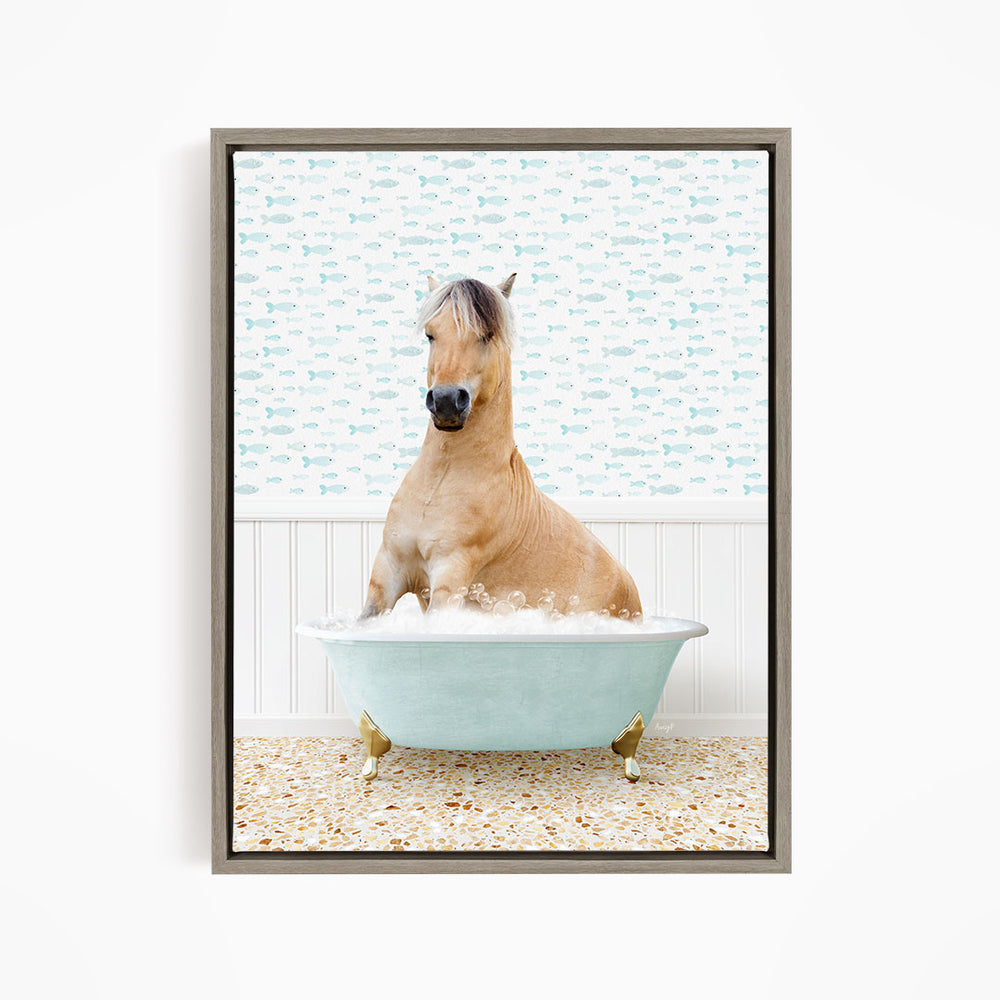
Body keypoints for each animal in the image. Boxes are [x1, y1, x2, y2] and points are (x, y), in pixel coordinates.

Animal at [360, 274, 642, 619]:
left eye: (486, 335)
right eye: (430, 334)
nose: (446, 402)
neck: (440, 482)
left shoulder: (450, 576)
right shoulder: (388, 571)